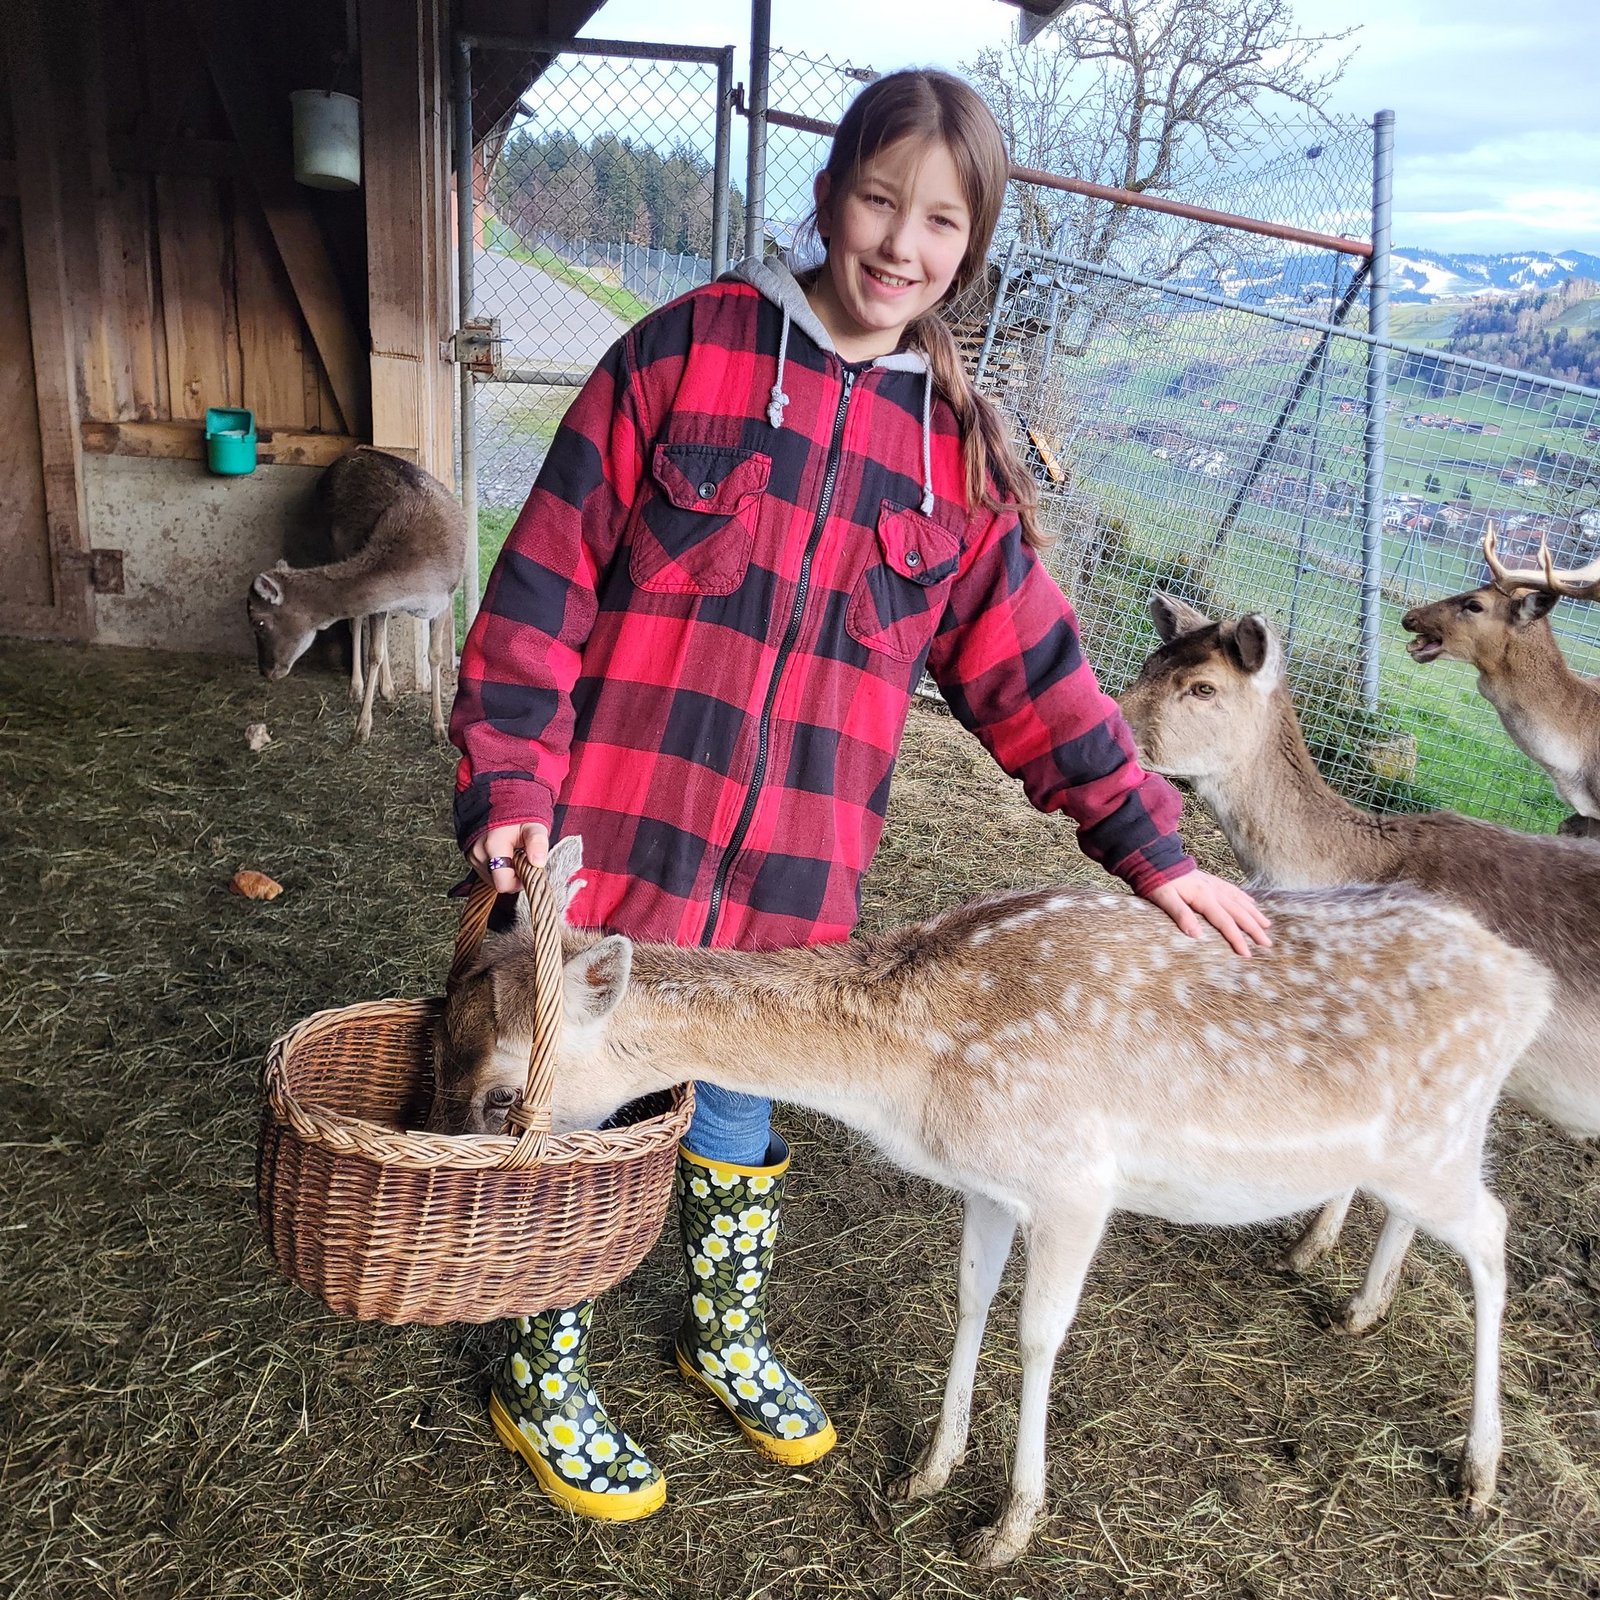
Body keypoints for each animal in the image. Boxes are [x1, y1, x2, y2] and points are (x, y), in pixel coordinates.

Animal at [246, 447, 466, 741]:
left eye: (259, 622)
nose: (266, 670)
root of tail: (350, 454)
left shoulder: (446, 597)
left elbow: (434, 655)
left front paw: (439, 728)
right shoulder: (379, 604)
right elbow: (374, 652)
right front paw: (362, 727)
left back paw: (389, 689)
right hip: (334, 543)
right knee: (356, 622)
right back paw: (356, 687)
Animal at [432, 836, 1552, 1568]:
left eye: (503, 1093)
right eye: (447, 1029)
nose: (459, 1178)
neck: (920, 1079)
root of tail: (1529, 984)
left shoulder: (1074, 1181)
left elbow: (1038, 1333)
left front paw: (1005, 1527)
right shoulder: (990, 1184)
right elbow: (970, 1301)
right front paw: (926, 1471)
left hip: (1437, 1136)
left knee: (1496, 1235)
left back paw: (1481, 1471)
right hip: (1420, 1150)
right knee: (1442, 1222)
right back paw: (1363, 1313)